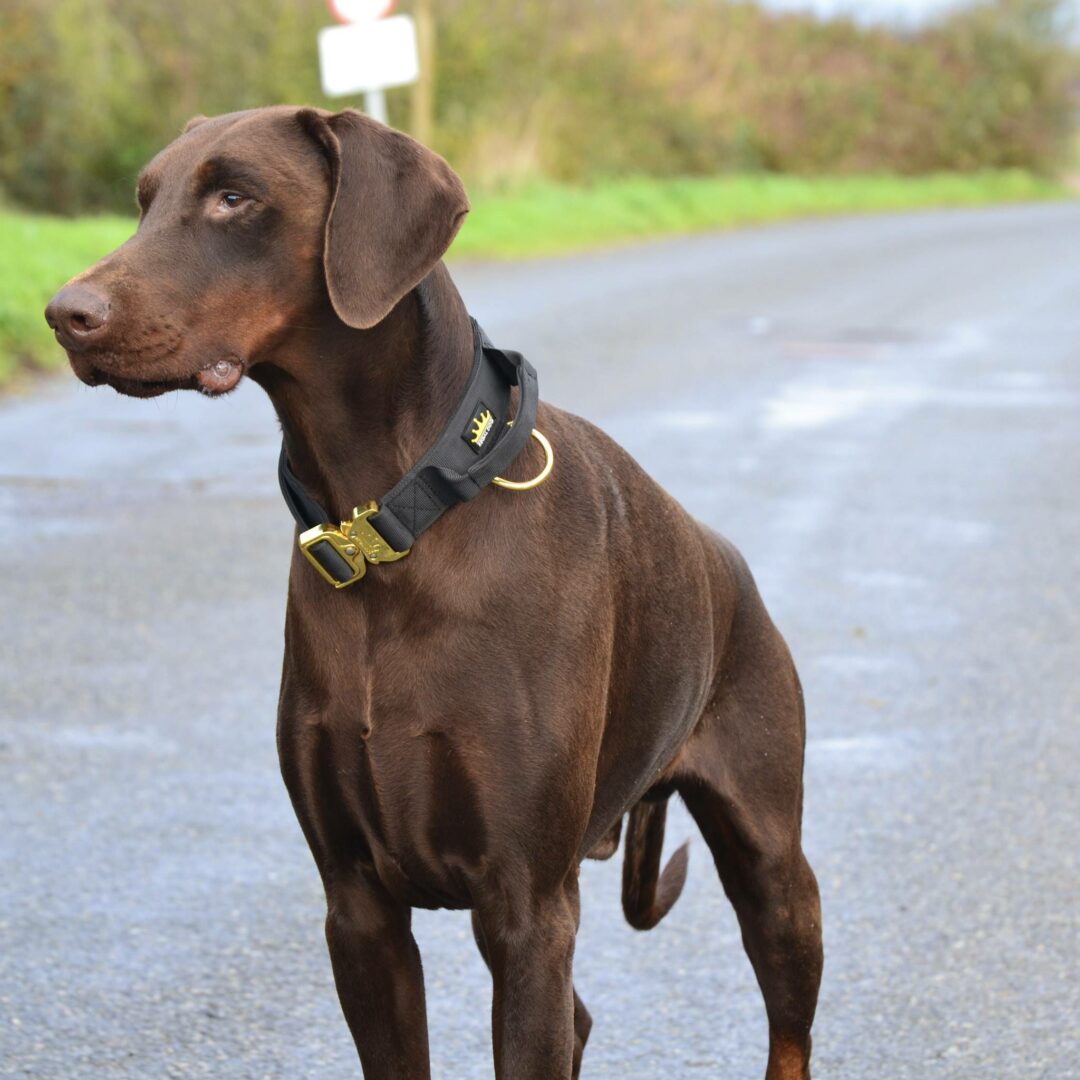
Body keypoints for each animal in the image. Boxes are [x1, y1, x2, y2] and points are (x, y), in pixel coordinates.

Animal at [42, 107, 816, 1080]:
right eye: (146, 200)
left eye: (234, 196)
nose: (65, 315)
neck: (388, 523)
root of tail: (729, 563)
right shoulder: (358, 907)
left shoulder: (525, 908)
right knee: (583, 1018)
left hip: (773, 866)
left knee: (787, 1025)